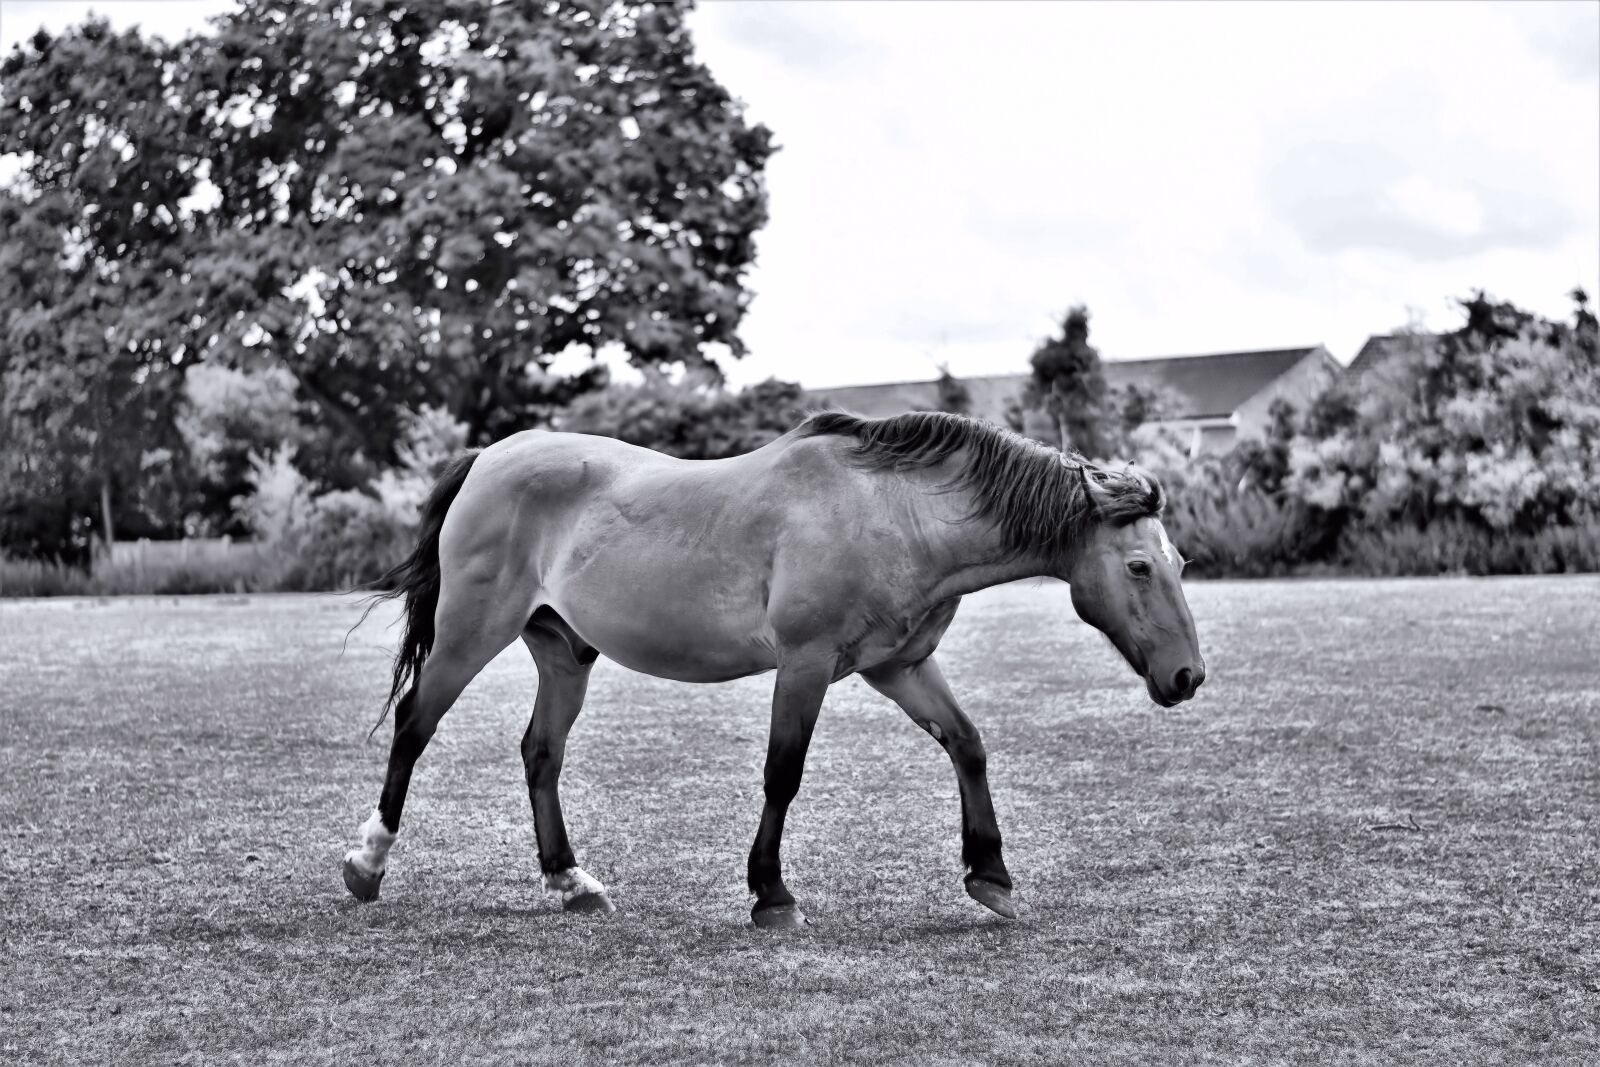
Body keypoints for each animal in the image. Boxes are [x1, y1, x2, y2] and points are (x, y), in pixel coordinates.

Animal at [341, 410, 1205, 927]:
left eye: (1180, 562)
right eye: (1138, 567)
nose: (1188, 677)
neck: (890, 512)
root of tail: (492, 454)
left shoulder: (900, 667)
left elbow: (968, 744)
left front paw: (989, 872)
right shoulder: (806, 664)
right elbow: (782, 773)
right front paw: (771, 893)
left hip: (564, 651)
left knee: (540, 753)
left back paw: (569, 879)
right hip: (469, 633)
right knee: (415, 726)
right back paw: (367, 862)